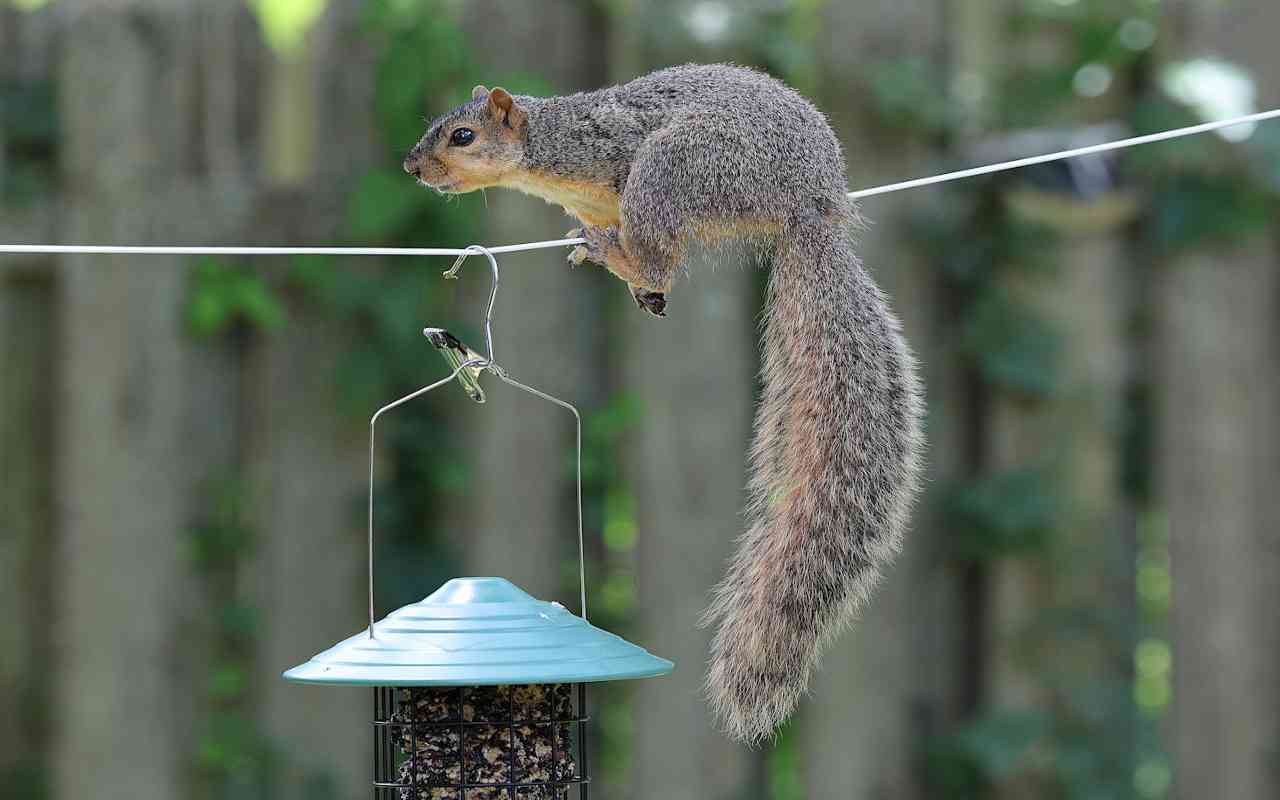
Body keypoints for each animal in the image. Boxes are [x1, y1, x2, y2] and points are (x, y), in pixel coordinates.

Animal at [403, 63, 925, 744]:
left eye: (462, 135)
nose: (413, 167)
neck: (548, 153)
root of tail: (809, 205)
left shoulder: (611, 151)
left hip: (673, 170)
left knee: (661, 255)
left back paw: (619, 258)